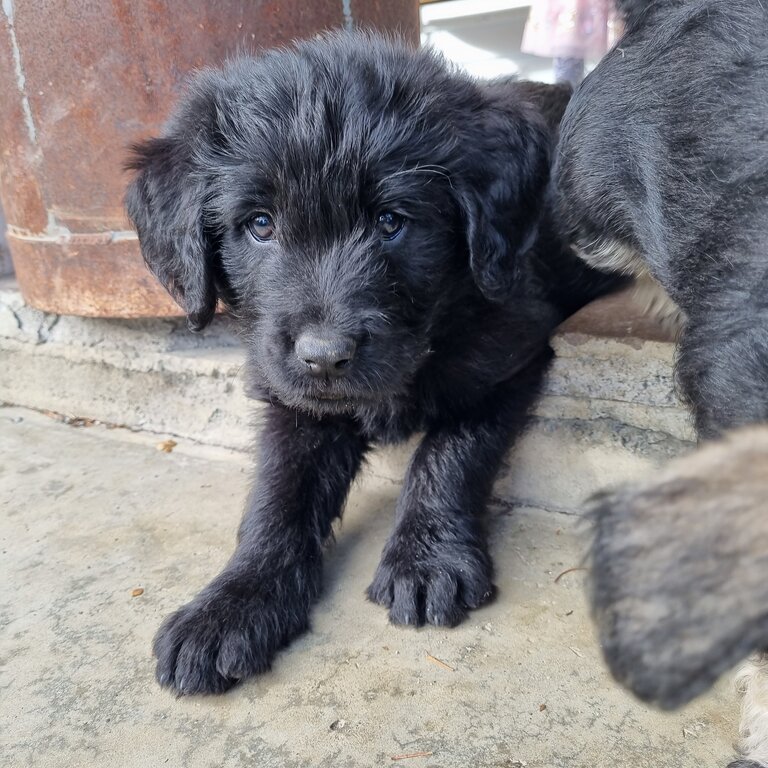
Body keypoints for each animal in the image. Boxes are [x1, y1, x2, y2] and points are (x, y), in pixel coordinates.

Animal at [126, 31, 616, 696]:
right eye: (260, 225)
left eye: (391, 222)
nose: (325, 357)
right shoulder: (293, 398)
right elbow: (276, 494)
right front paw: (233, 602)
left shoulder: (511, 348)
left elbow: (449, 451)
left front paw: (427, 556)